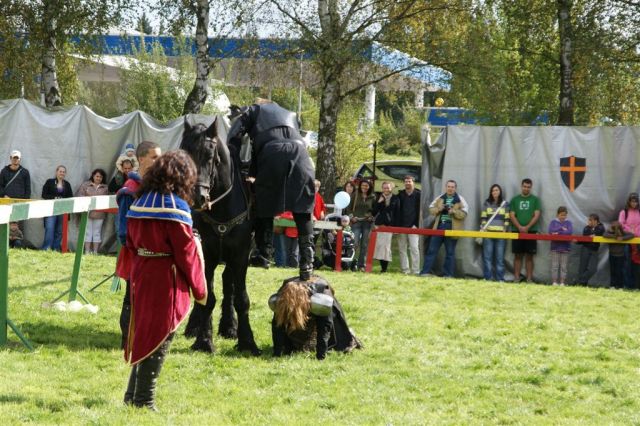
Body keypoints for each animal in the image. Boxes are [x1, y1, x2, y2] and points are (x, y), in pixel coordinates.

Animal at [180, 116, 260, 356]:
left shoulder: (241, 255)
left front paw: (247, 341)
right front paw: (204, 340)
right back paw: (194, 326)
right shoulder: (208, 253)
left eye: (209, 156)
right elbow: (207, 297)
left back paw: (229, 326)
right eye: (184, 153)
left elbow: (240, 297)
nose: (196, 197)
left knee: (228, 283)